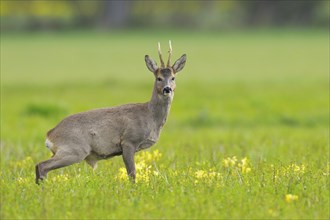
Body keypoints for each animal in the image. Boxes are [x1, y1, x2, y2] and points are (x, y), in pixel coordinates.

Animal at [36, 41, 187, 184]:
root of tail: (50, 134)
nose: (167, 89)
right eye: (158, 78)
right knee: (41, 165)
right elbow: (132, 174)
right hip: (74, 149)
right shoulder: (128, 141)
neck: (150, 117)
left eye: (173, 78)